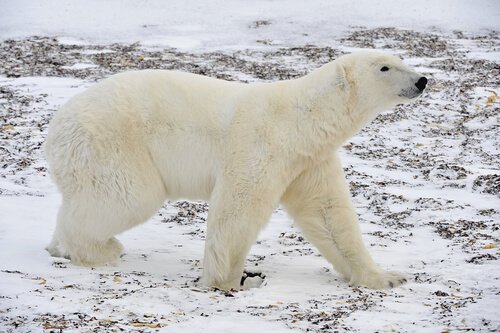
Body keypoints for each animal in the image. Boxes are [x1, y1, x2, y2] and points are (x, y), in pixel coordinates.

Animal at [45, 50, 426, 290]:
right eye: (384, 67)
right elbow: (238, 207)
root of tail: (56, 131)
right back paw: (100, 250)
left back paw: (60, 246)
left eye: (400, 59)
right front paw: (231, 280)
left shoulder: (308, 160)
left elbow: (329, 213)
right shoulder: (261, 144)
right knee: (128, 196)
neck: (300, 119)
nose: (422, 80)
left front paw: (386, 277)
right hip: (115, 142)